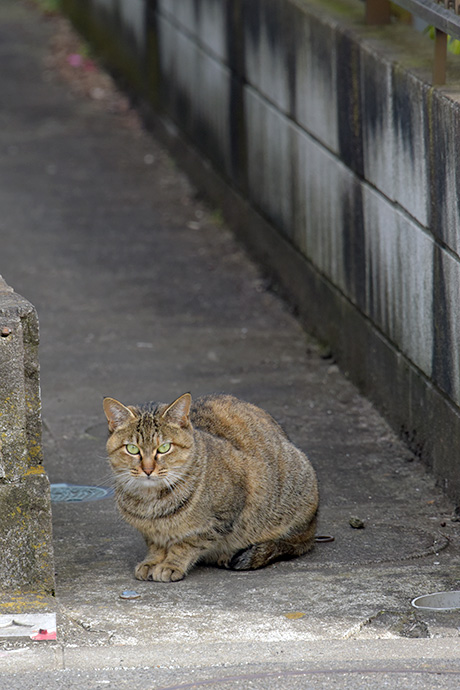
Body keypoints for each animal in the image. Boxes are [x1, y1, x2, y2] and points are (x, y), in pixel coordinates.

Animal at [103, 392, 320, 580]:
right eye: (132, 449)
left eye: (164, 448)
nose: (148, 469)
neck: (151, 501)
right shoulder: (150, 532)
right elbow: (156, 544)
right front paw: (153, 561)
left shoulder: (221, 517)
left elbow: (187, 543)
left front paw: (171, 564)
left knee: (294, 542)